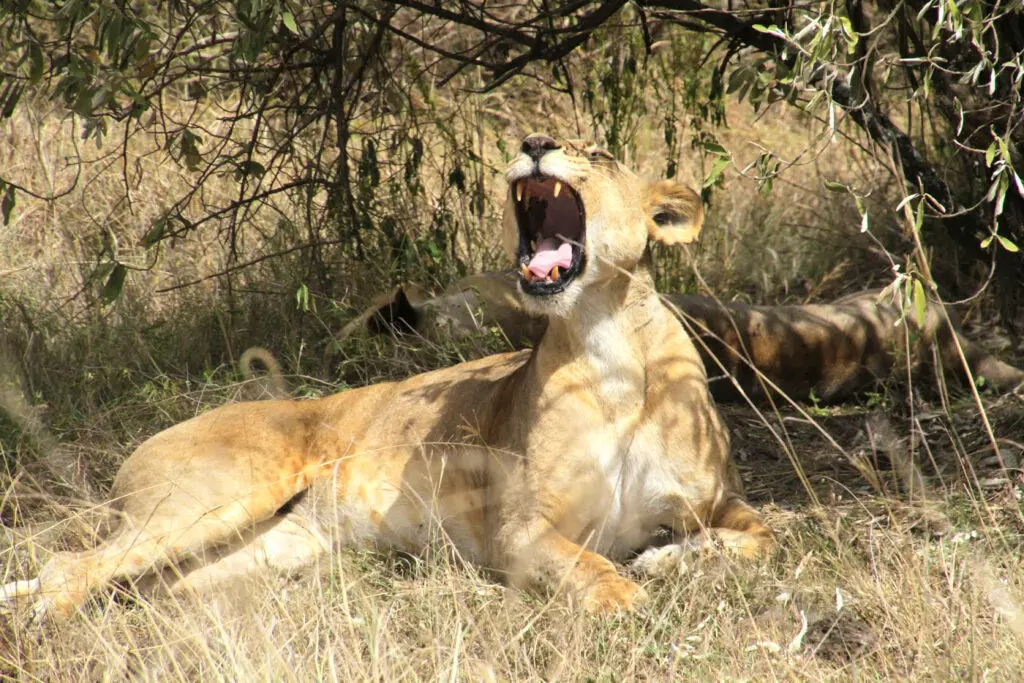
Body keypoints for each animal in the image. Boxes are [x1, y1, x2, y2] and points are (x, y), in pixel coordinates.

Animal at [1, 135, 771, 620]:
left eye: (602, 155)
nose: (534, 140)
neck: (608, 342)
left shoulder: (719, 499)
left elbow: (764, 537)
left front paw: (666, 561)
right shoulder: (520, 530)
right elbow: (589, 567)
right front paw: (627, 595)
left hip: (255, 556)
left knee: (135, 585)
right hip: (213, 501)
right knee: (71, 567)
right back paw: (48, 621)